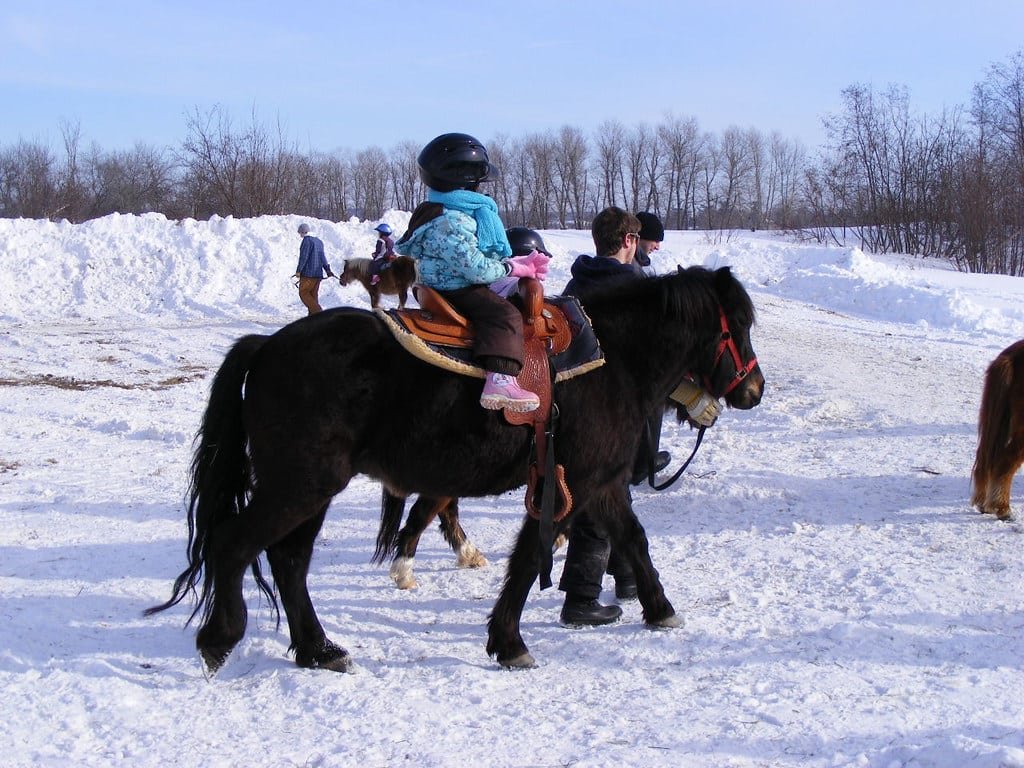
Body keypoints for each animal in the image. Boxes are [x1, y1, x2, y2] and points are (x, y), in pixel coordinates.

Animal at [146, 266, 764, 673]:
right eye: (737, 325)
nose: (754, 390)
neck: (611, 360)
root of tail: (267, 346)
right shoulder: (573, 482)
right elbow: (532, 556)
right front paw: (509, 641)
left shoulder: (602, 483)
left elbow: (632, 538)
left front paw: (660, 609)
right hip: (299, 485)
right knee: (235, 545)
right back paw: (221, 638)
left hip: (309, 490)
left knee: (288, 561)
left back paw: (318, 650)